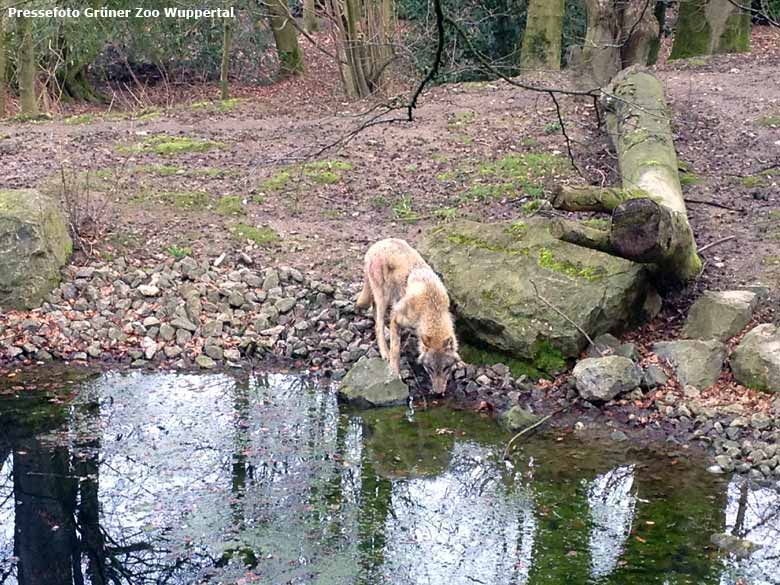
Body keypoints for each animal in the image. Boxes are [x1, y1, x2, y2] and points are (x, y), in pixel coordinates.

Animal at [356, 236, 460, 392]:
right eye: (430, 369)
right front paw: (394, 372)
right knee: (378, 325)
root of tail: (375, 246)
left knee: (374, 313)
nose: (438, 392)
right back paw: (384, 352)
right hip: (384, 298)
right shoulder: (396, 317)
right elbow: (395, 349)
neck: (431, 307)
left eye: (445, 368)